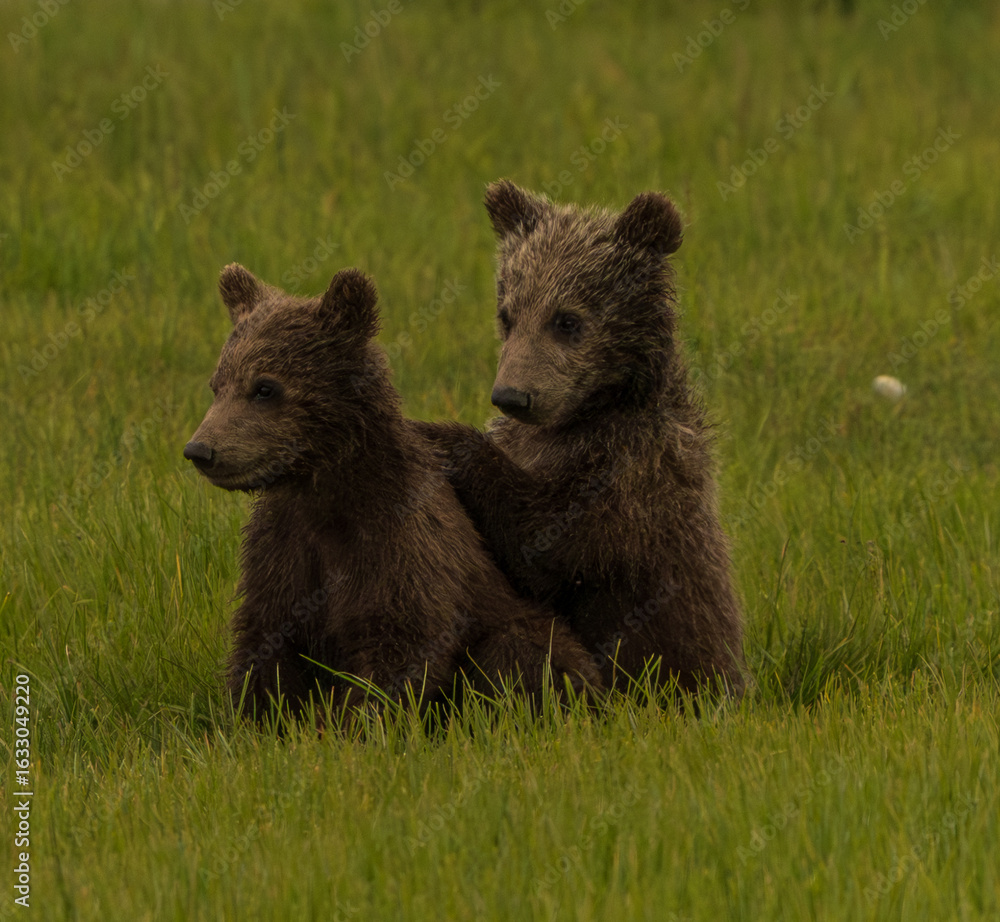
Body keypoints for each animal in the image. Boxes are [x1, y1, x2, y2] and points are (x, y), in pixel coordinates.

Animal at [183, 263, 602, 725]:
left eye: (264, 387)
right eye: (217, 384)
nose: (201, 450)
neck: (326, 495)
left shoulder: (400, 542)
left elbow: (400, 642)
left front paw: (350, 722)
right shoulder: (284, 547)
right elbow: (267, 638)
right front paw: (256, 717)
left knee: (524, 655)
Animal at [416, 180, 747, 698]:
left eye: (566, 320)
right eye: (508, 314)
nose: (513, 396)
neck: (585, 413)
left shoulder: (631, 476)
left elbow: (546, 539)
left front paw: (443, 436)